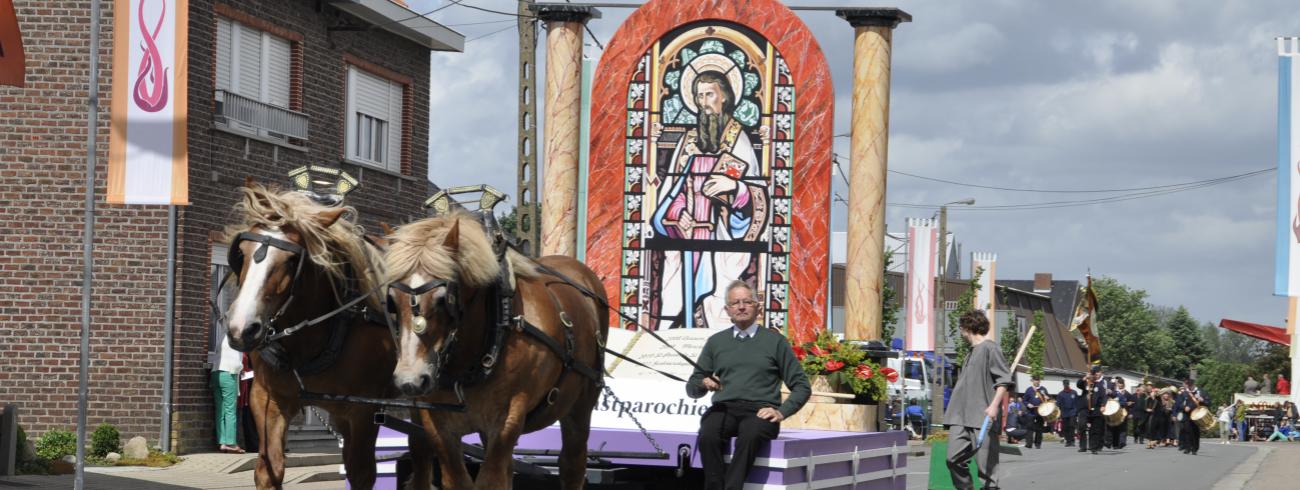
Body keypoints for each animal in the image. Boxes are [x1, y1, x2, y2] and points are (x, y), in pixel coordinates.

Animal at [223, 183, 436, 488]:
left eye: (292, 260)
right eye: (241, 251)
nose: (242, 329)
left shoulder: (363, 411)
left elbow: (360, 473)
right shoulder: (267, 398)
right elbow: (269, 469)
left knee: (424, 450)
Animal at [384, 213, 608, 488]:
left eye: (443, 299)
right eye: (392, 301)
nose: (411, 380)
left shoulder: (506, 419)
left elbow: (490, 481)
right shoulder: (439, 426)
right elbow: (458, 480)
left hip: (580, 407)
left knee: (572, 465)